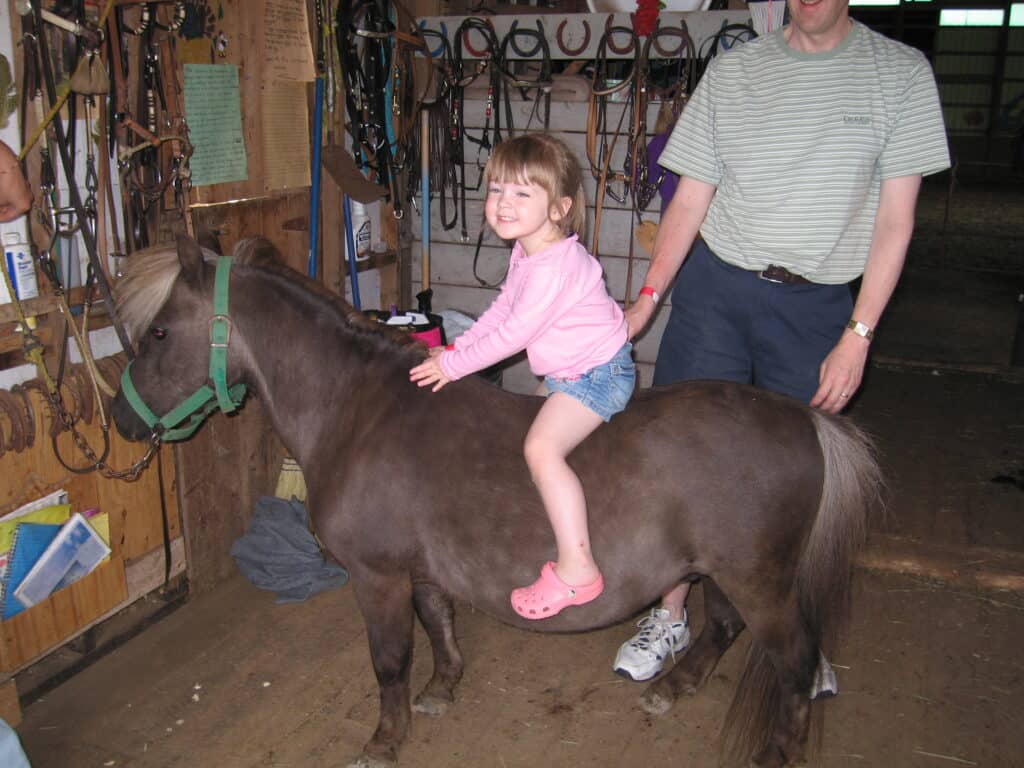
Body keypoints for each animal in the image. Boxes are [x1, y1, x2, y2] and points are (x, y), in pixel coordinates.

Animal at [110, 236, 880, 768]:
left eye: (158, 332)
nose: (123, 422)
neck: (358, 411)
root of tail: (805, 420)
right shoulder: (418, 572)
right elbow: (438, 624)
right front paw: (442, 688)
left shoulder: (377, 577)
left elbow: (389, 660)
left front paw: (384, 740)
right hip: (728, 573)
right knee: (721, 625)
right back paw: (674, 686)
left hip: (762, 582)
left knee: (794, 662)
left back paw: (774, 751)